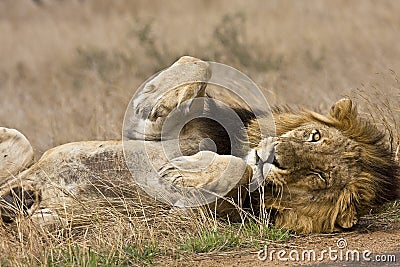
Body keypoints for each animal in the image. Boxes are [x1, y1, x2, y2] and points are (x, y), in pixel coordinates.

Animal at [0, 56, 398, 234]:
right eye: (313, 136)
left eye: (318, 177)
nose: (272, 157)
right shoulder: (146, 132)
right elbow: (197, 65)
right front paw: (156, 101)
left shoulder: (209, 218)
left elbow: (230, 173)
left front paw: (182, 178)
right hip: (26, 156)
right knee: (20, 148)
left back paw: (41, 216)